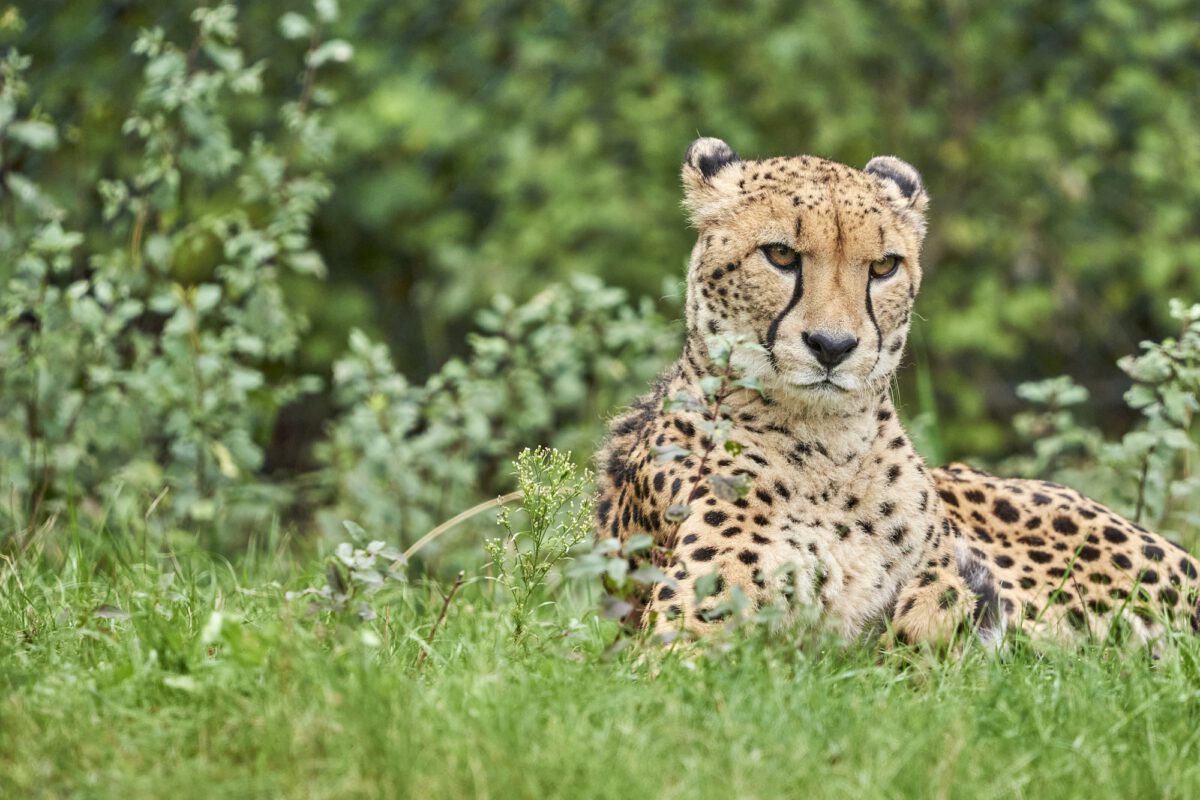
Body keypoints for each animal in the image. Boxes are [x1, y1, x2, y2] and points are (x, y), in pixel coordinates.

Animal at [592, 137, 1200, 647]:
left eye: (884, 266)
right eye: (781, 255)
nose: (833, 346)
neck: (829, 447)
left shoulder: (941, 591)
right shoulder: (678, 642)